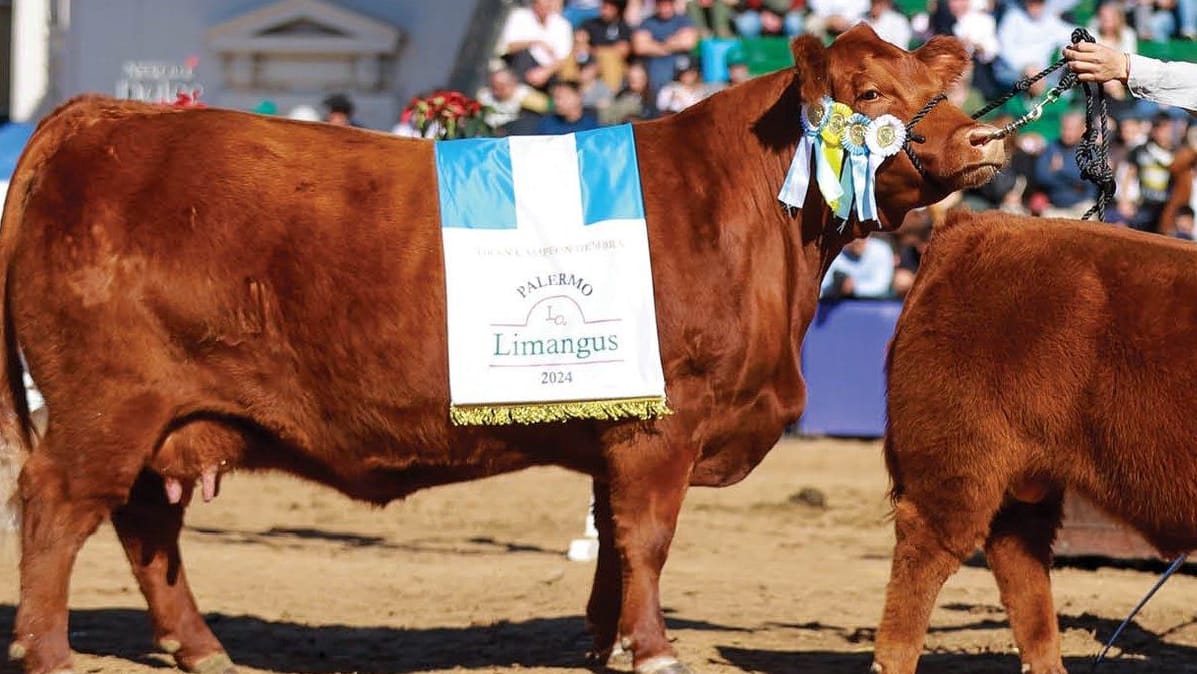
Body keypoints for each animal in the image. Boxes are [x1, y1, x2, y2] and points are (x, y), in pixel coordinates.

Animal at [2, 24, 1000, 674]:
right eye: (869, 97)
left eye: (936, 87)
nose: (985, 136)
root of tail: (96, 117)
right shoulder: (662, 425)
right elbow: (647, 538)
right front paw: (652, 650)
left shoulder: (616, 420)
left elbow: (612, 543)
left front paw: (602, 642)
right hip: (106, 406)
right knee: (57, 512)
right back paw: (50, 653)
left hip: (160, 419)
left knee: (145, 527)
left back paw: (201, 649)